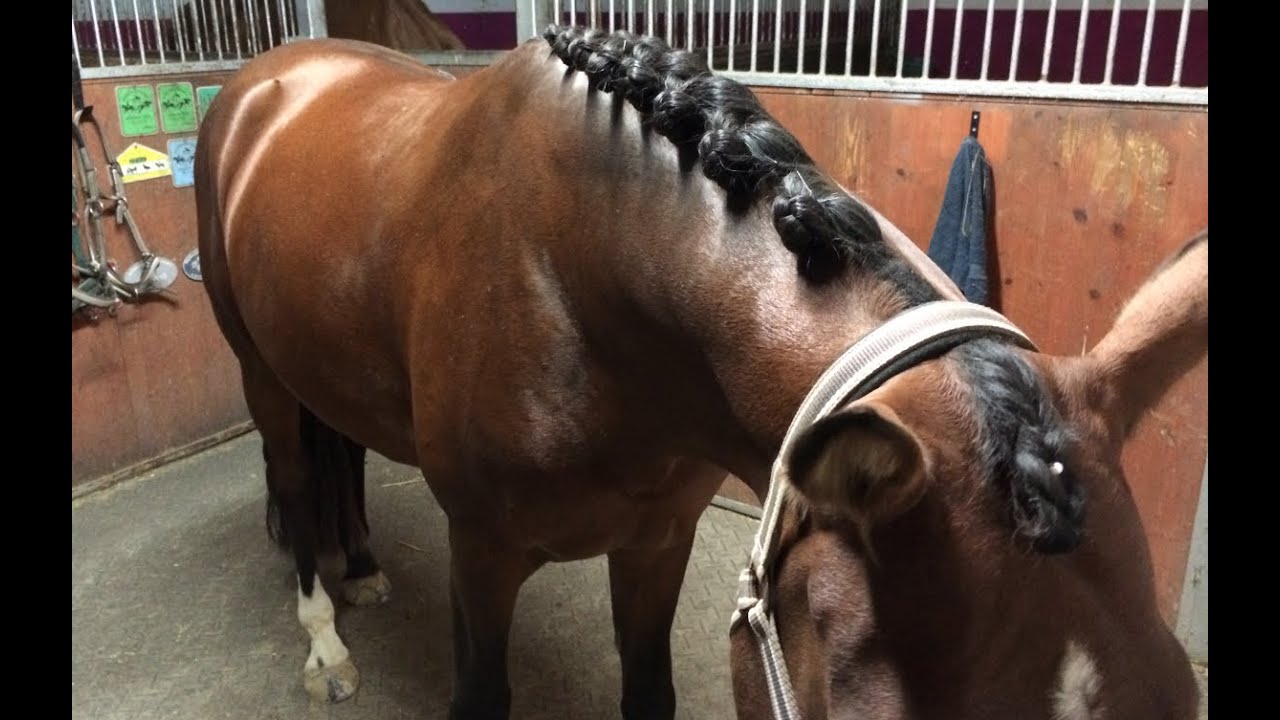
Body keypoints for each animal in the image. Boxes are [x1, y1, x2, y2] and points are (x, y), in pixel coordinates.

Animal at [194, 22, 1203, 717]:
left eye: (1180, 691)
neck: (569, 274)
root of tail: (262, 81)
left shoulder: (657, 540)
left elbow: (652, 692)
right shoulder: (480, 549)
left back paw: (362, 568)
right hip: (258, 375)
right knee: (296, 477)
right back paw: (326, 642)